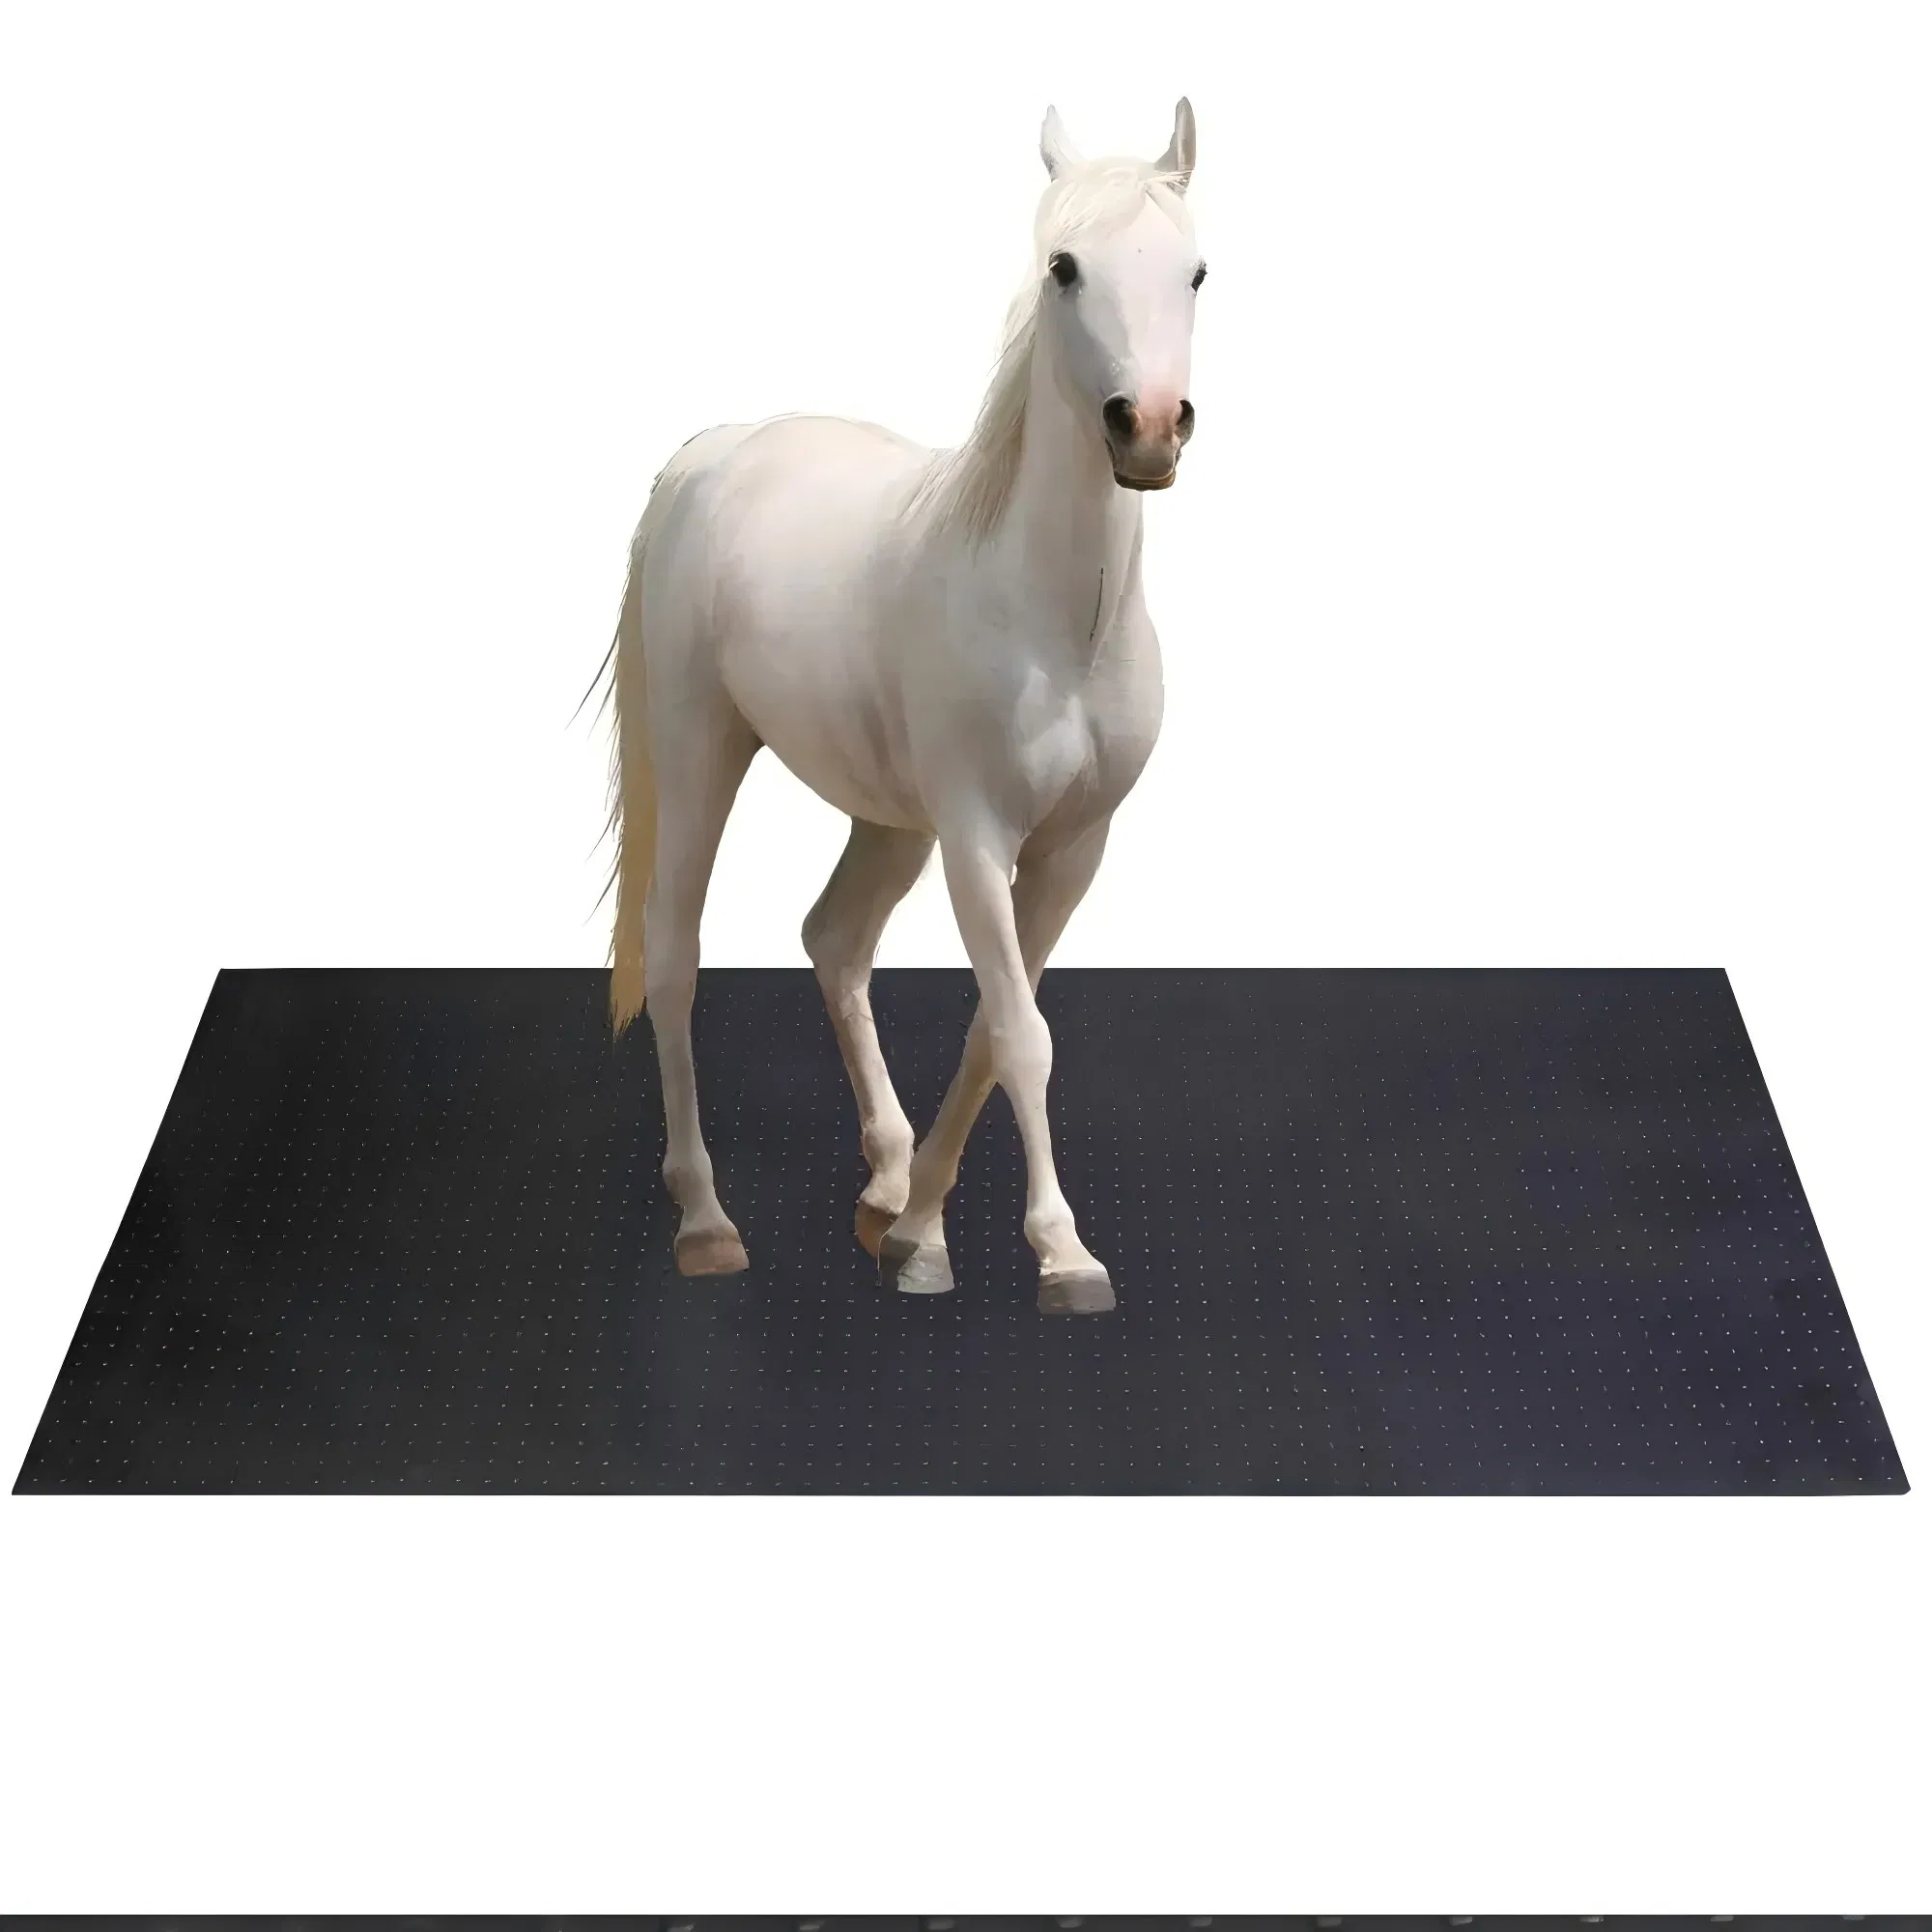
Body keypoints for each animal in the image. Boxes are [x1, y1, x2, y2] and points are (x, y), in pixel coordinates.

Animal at [599, 98, 1204, 1315]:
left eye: (1197, 271)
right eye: (1063, 266)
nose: (1149, 427)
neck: (1055, 618)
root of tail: (713, 453)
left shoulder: (1071, 849)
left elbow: (988, 1030)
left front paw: (916, 1226)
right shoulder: (976, 836)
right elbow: (1020, 1033)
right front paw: (1059, 1252)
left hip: (886, 817)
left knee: (833, 940)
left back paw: (881, 1179)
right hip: (700, 751)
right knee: (676, 949)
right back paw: (704, 1217)